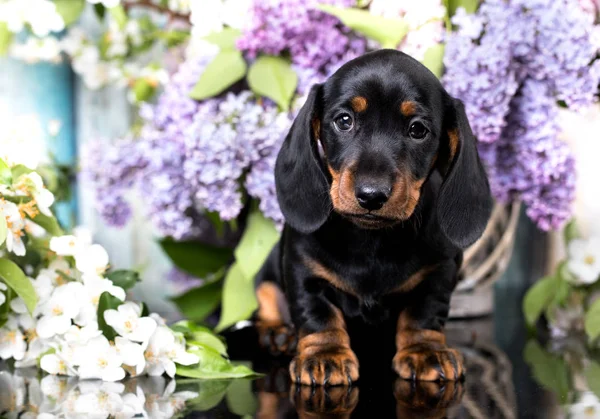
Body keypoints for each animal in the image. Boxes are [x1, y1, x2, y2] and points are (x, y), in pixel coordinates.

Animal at [253, 48, 492, 388]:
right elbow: (317, 314)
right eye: (344, 120)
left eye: (418, 129)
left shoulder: (440, 271)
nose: (371, 195)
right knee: (268, 301)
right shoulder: (303, 270)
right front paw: (325, 354)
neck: (371, 240)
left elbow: (423, 313)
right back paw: (278, 334)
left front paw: (424, 351)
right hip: (265, 278)